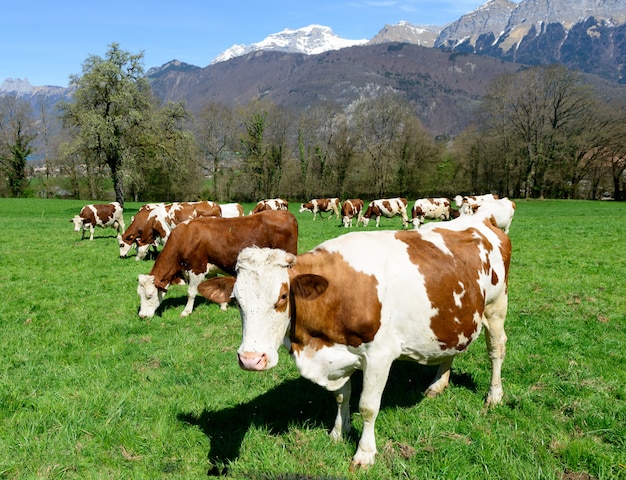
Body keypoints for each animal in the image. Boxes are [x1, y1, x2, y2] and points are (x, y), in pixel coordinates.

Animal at [137, 210, 298, 318]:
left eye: (150, 295)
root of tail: (285, 213)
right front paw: (223, 305)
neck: (185, 237)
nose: (142, 316)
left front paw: (186, 311)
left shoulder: (197, 268)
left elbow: (191, 292)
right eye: (139, 294)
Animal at [217, 213, 510, 468]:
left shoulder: (380, 355)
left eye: (282, 297)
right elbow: (341, 396)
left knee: (497, 349)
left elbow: (368, 406)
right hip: (451, 317)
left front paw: (364, 454)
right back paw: (438, 385)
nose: (251, 359)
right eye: (236, 300)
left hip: (495, 307)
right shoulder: (338, 355)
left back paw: (494, 395)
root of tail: (483, 219)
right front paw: (338, 432)